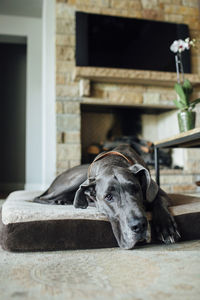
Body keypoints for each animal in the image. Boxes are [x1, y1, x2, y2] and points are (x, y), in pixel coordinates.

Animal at [34, 145, 180, 248]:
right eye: (109, 197)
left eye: (136, 189)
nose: (139, 226)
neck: (112, 162)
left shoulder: (160, 193)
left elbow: (158, 200)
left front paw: (166, 228)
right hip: (75, 181)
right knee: (39, 198)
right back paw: (59, 201)